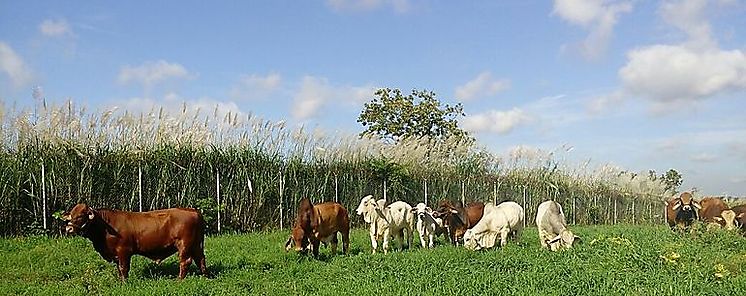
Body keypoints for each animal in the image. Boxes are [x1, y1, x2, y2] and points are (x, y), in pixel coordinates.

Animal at [60, 204, 205, 280]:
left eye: (80, 216)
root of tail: (193, 210)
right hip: (196, 245)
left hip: (184, 245)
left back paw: (179, 280)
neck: (105, 226)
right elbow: (119, 268)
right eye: (71, 215)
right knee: (201, 259)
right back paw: (205, 276)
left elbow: (123, 268)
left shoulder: (124, 251)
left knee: (185, 262)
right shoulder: (116, 254)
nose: (68, 228)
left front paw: (124, 282)